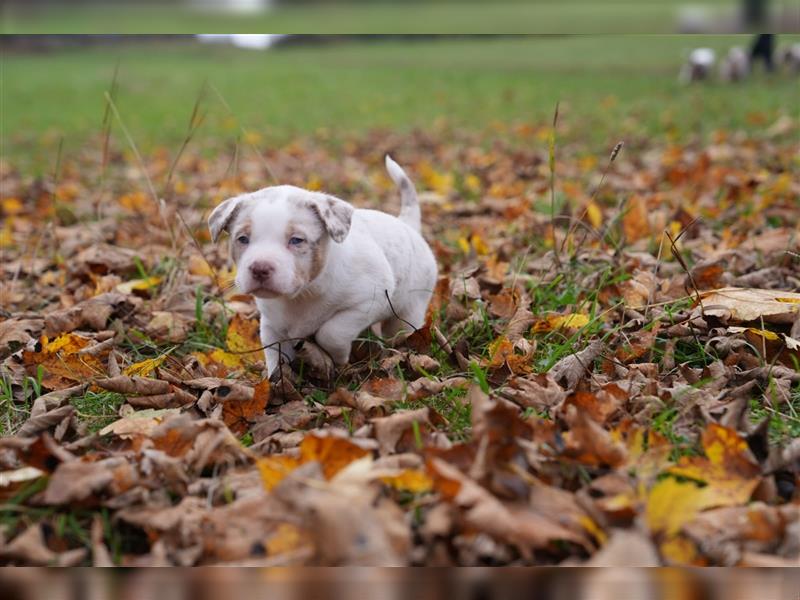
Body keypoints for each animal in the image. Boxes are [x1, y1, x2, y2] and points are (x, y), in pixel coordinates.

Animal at [206, 157, 438, 378]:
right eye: (242, 239)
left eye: (296, 240)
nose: (260, 268)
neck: (301, 296)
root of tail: (407, 225)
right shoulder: (272, 326)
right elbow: (275, 356)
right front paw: (277, 381)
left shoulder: (368, 300)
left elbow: (332, 333)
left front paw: (338, 357)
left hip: (409, 310)